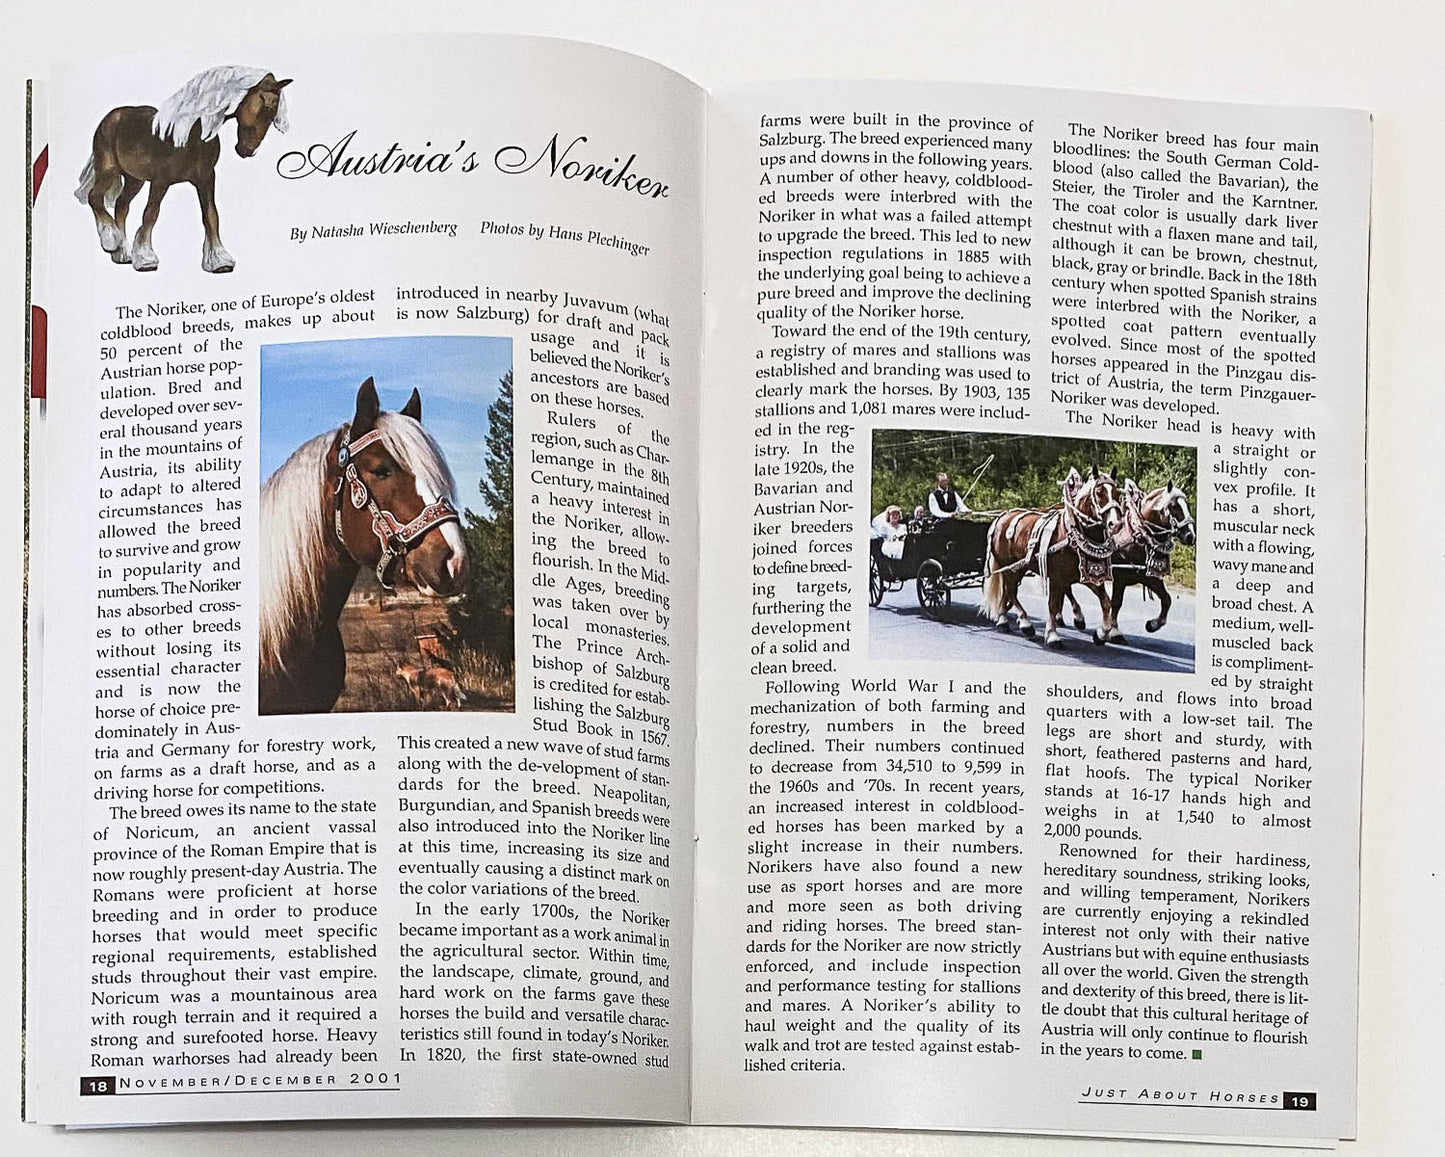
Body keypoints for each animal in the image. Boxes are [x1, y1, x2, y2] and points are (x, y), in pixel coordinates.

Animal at [76, 66, 291, 273]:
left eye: (274, 112)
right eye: (266, 106)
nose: (246, 150)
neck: (192, 133)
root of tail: (110, 117)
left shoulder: (206, 179)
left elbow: (211, 216)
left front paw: (219, 261)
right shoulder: (160, 182)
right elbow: (151, 213)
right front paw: (146, 260)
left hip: (134, 179)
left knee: (121, 205)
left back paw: (123, 254)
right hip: (108, 170)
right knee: (95, 198)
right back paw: (111, 241)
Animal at [979, 467, 1125, 647]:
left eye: (1117, 493)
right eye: (1099, 493)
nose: (1115, 524)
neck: (1073, 534)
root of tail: (1002, 517)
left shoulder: (1087, 576)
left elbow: (1105, 601)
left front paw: (1101, 633)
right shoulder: (1057, 578)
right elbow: (1053, 605)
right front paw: (1052, 635)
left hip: (1019, 567)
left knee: (1008, 591)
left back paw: (1003, 620)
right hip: (1007, 566)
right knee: (1010, 591)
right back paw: (1024, 623)